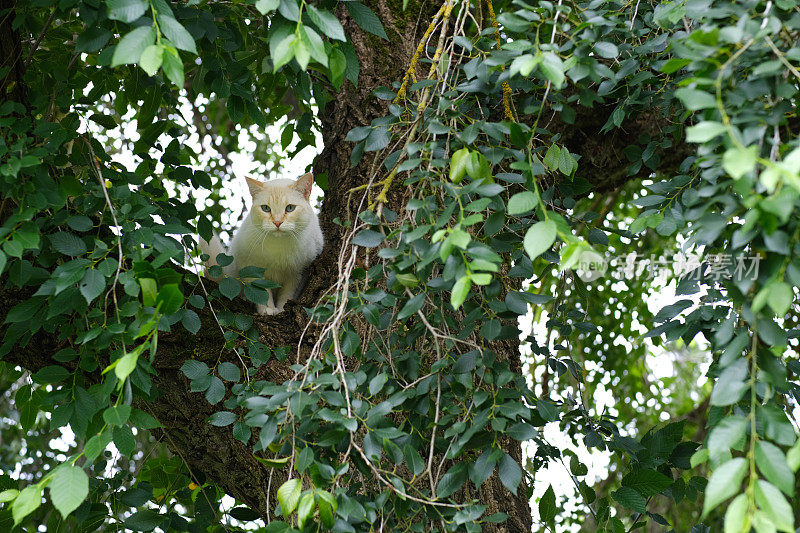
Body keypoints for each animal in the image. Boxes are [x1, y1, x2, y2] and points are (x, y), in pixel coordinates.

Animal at [202, 174, 324, 316]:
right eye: (266, 208)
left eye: (290, 208)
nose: (277, 222)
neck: (278, 247)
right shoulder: (251, 268)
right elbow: (261, 292)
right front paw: (267, 309)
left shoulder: (297, 275)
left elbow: (287, 295)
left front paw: (282, 310)